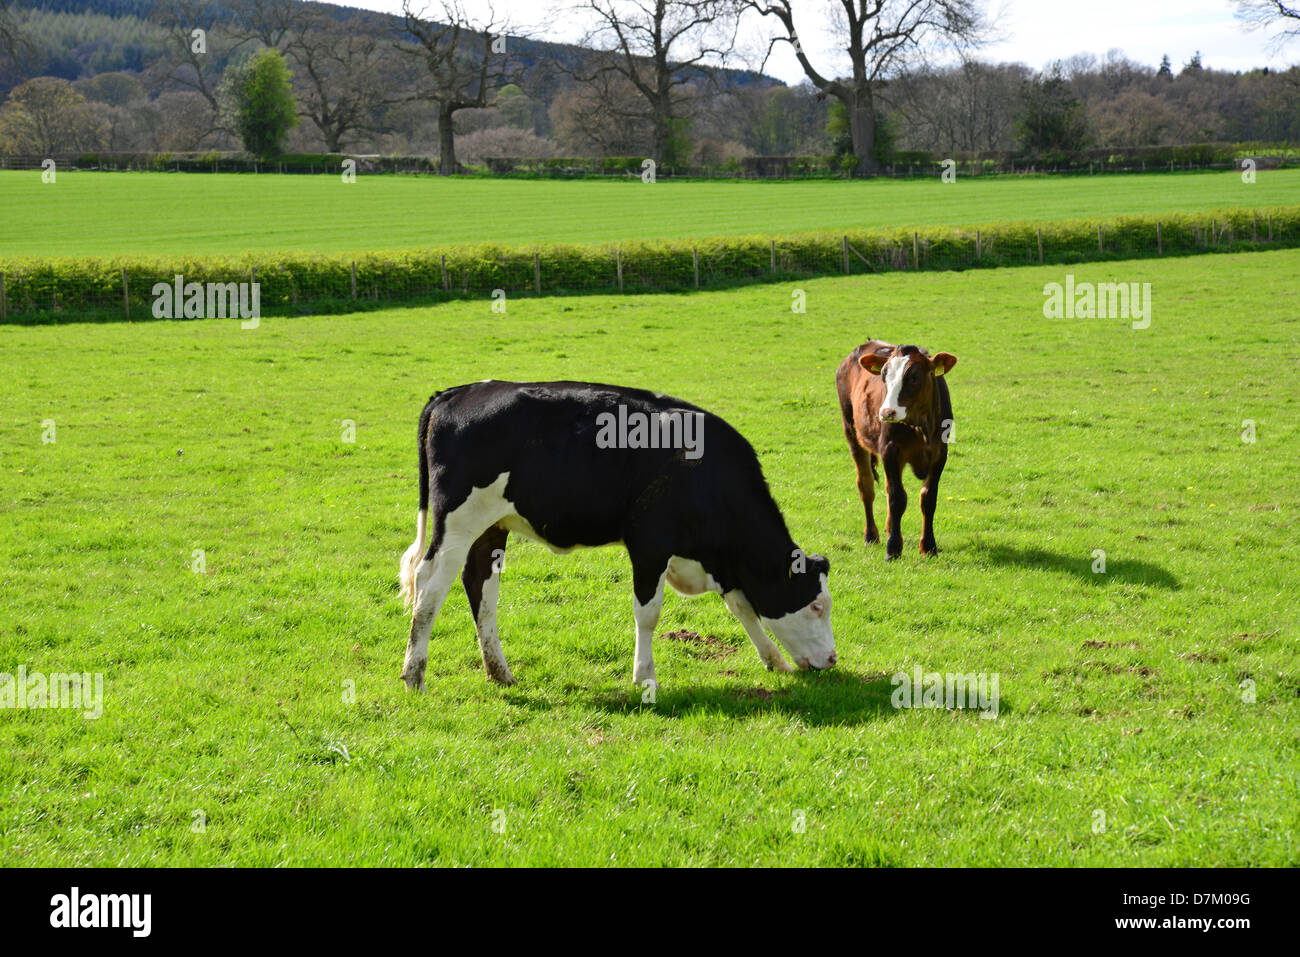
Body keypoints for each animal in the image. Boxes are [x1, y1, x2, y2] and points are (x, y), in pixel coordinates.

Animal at [395, 377, 837, 691]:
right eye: (817, 606)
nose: (833, 660)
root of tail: (456, 392)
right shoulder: (649, 544)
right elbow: (648, 613)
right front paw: (645, 677)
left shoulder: (718, 559)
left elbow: (742, 606)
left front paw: (773, 659)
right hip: (457, 522)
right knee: (429, 585)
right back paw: (414, 675)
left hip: (490, 528)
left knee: (481, 589)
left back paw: (499, 671)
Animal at [837, 340, 961, 556]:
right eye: (884, 375)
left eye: (914, 377)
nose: (887, 412)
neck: (920, 426)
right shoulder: (890, 450)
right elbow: (897, 498)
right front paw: (893, 548)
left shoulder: (940, 454)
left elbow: (928, 498)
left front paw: (929, 546)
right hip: (852, 433)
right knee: (866, 486)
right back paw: (871, 535)